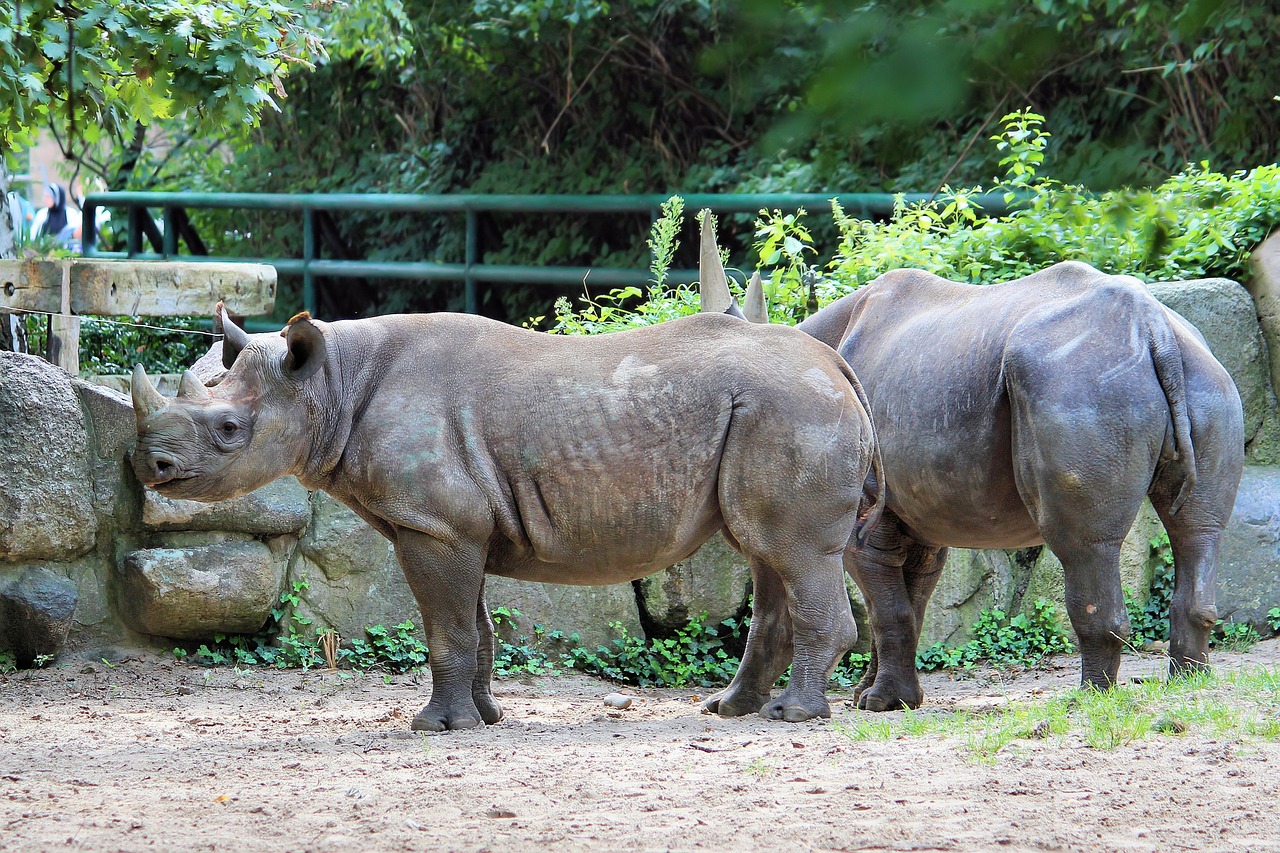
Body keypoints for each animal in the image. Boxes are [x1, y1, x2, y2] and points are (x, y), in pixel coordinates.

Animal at [135, 302, 885, 727]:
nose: (150, 467)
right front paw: (487, 716)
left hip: (792, 408)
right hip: (782, 408)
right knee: (766, 553)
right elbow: (475, 625)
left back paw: (795, 715)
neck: (332, 384)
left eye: (229, 428)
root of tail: (839, 366)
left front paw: (436, 726)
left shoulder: (431, 525)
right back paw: (730, 709)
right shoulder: (456, 525)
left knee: (793, 552)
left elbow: (445, 628)